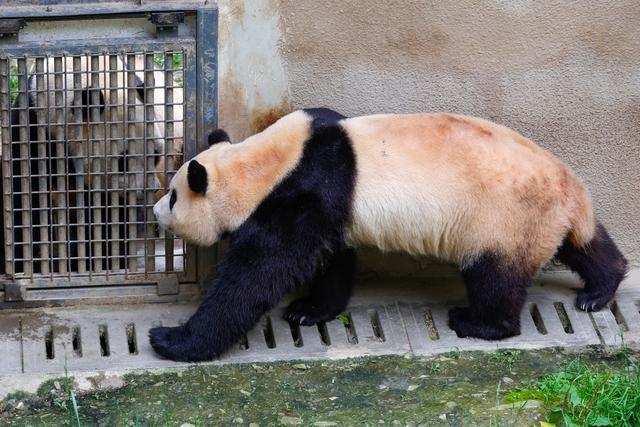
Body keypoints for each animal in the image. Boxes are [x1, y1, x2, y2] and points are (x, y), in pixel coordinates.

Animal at [149, 108, 624, 362]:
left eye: (173, 196)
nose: (153, 211)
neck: (266, 163)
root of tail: (568, 187)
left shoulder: (304, 192)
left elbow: (256, 276)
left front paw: (172, 339)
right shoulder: (329, 201)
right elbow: (332, 258)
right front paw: (310, 311)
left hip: (502, 218)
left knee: (496, 277)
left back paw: (477, 322)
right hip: (546, 218)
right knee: (583, 244)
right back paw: (601, 289)